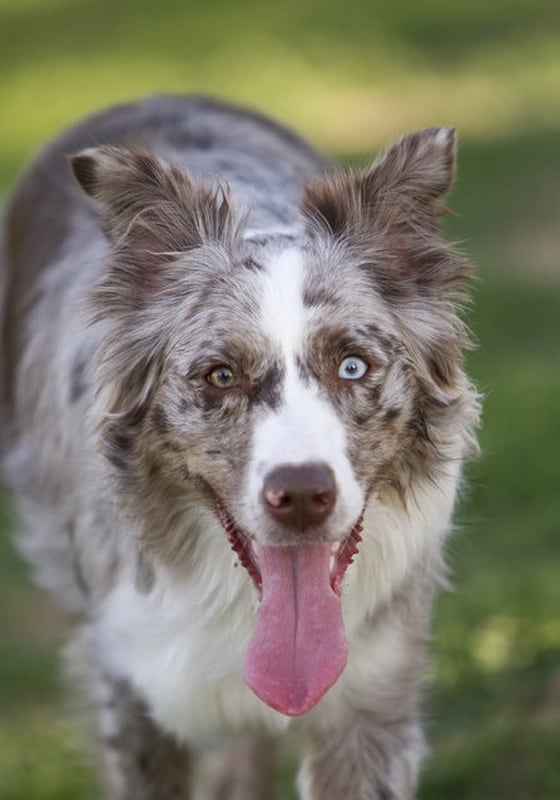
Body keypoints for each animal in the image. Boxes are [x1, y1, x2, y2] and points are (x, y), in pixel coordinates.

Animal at [1, 95, 476, 800]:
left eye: (353, 367)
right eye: (221, 376)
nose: (302, 495)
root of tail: (157, 95)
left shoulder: (373, 702)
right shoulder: (129, 692)